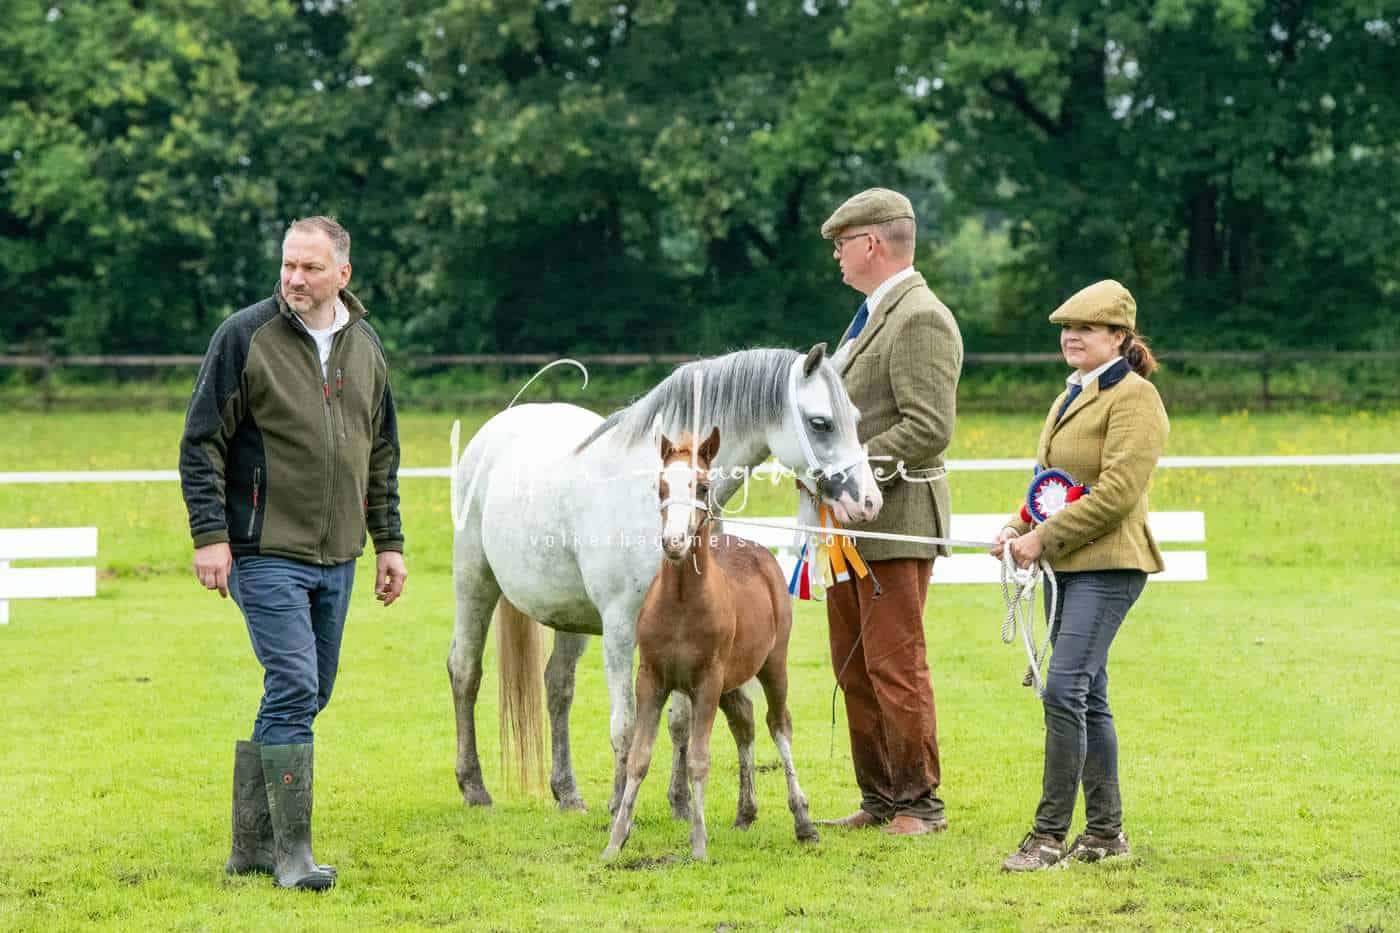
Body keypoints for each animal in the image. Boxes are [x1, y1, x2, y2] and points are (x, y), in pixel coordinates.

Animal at [448, 344, 881, 814]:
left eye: (855, 418)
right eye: (821, 423)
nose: (868, 502)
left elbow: (680, 720)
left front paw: (680, 802)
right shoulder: (620, 627)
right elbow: (626, 725)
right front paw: (619, 805)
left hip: (569, 615)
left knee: (558, 687)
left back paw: (567, 793)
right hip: (474, 582)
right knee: (465, 671)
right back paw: (473, 786)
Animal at [603, 428, 818, 860]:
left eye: (702, 486)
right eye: (660, 487)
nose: (674, 542)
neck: (682, 604)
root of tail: (757, 549)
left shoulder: (706, 682)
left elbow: (699, 760)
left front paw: (699, 844)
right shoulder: (651, 679)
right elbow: (638, 757)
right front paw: (616, 840)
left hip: (773, 666)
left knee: (778, 726)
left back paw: (803, 820)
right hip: (731, 681)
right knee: (744, 723)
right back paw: (745, 812)